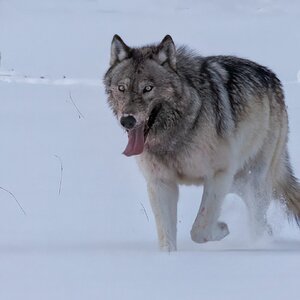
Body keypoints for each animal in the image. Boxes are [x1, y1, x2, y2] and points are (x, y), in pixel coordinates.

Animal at [103, 34, 300, 251]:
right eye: (121, 88)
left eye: (147, 88)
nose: (127, 120)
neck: (175, 135)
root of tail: (271, 76)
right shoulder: (160, 182)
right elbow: (166, 237)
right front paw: (168, 257)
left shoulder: (218, 175)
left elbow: (200, 229)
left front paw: (221, 229)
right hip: (238, 178)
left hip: (254, 178)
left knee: (257, 218)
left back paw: (258, 245)